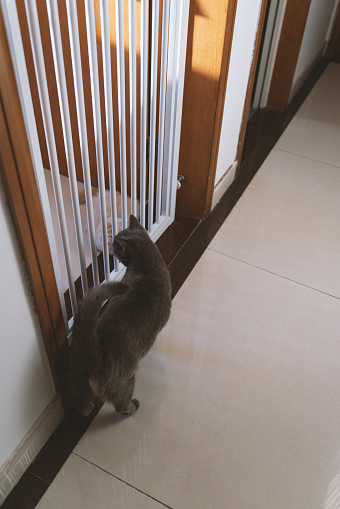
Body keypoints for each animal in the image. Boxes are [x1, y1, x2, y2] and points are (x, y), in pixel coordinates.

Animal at [69, 214, 171, 416]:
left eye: (117, 246)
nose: (111, 247)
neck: (146, 266)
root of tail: (95, 362)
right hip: (127, 381)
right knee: (121, 406)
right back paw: (133, 407)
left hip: (79, 381)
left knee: (81, 403)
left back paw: (87, 408)